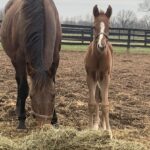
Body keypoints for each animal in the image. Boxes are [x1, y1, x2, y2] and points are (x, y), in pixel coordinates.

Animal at [0, 0, 61, 129]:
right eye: (31, 96)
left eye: (53, 95)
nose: (44, 125)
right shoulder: (20, 60)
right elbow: (23, 89)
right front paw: (22, 121)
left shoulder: (56, 58)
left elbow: (53, 83)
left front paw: (55, 120)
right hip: (14, 61)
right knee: (19, 82)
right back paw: (18, 109)